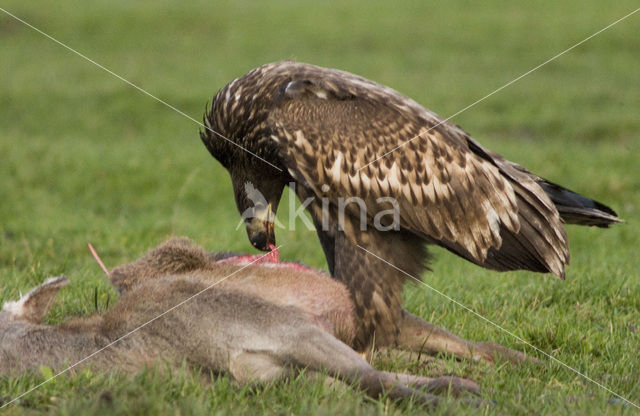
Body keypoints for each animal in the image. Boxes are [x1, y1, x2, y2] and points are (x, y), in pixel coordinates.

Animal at [0, 237, 480, 406]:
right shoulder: (280, 376)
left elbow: (374, 380)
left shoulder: (286, 327)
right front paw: (458, 393)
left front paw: (463, 401)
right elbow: (371, 381)